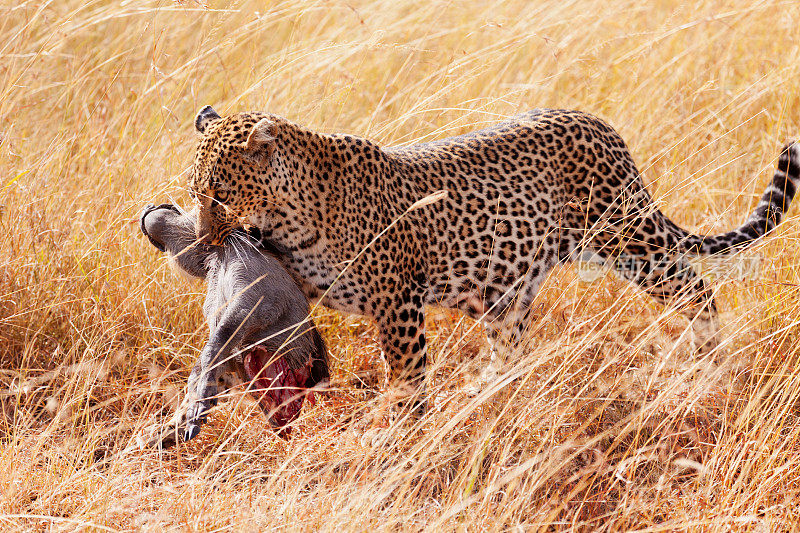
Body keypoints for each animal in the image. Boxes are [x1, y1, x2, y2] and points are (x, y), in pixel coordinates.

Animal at [186, 104, 800, 410]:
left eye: (218, 193)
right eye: (195, 192)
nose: (203, 242)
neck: (289, 212)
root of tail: (601, 126)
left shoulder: (399, 304)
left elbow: (408, 381)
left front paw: (405, 439)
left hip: (632, 242)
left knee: (698, 290)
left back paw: (709, 367)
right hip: (507, 289)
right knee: (510, 347)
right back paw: (494, 393)